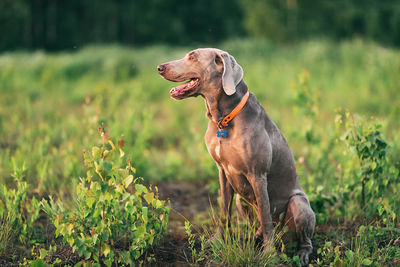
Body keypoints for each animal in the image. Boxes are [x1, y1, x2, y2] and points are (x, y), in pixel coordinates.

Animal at [156, 48, 316, 266]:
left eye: (193, 56)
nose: (159, 67)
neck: (223, 118)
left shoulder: (258, 175)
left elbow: (265, 217)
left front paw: (269, 255)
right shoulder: (223, 171)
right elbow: (225, 211)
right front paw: (217, 242)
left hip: (299, 204)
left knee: (297, 235)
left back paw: (301, 254)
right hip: (242, 200)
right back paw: (256, 237)